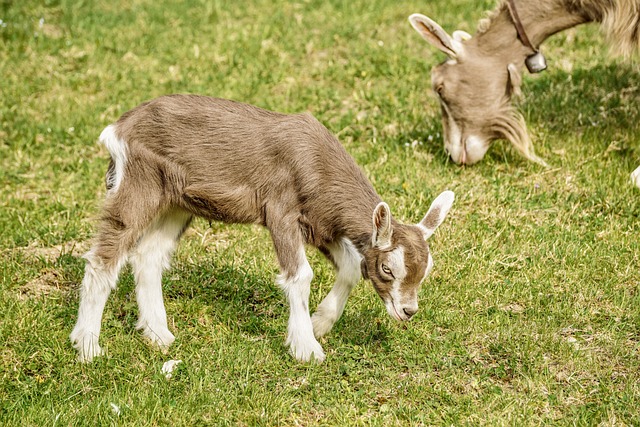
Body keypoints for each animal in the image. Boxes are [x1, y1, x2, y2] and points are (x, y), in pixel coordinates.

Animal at [71, 95, 456, 362]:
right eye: (389, 268)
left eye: (426, 271)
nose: (408, 311)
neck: (319, 164)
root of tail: (118, 128)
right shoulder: (281, 211)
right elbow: (300, 275)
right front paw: (306, 348)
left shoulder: (320, 223)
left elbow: (350, 265)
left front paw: (319, 324)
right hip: (140, 182)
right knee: (105, 256)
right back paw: (87, 345)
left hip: (177, 202)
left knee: (148, 256)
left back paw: (157, 335)